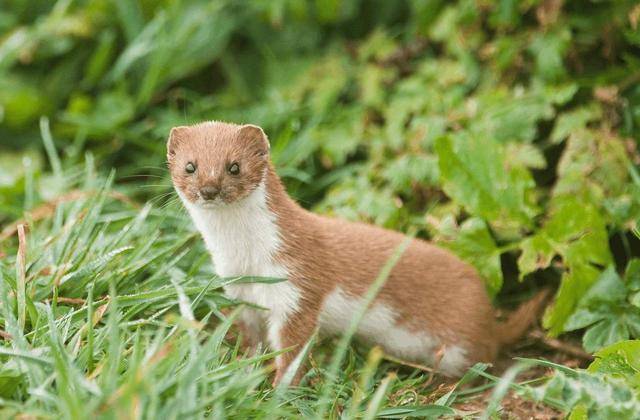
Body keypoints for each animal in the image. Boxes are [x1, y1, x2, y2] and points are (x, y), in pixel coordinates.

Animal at [168, 120, 548, 384]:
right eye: (190, 166)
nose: (209, 189)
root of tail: (488, 316)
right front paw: (242, 369)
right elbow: (251, 339)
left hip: (459, 341)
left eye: (234, 166)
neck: (246, 256)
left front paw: (278, 391)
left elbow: (292, 350)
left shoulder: (297, 288)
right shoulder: (239, 291)